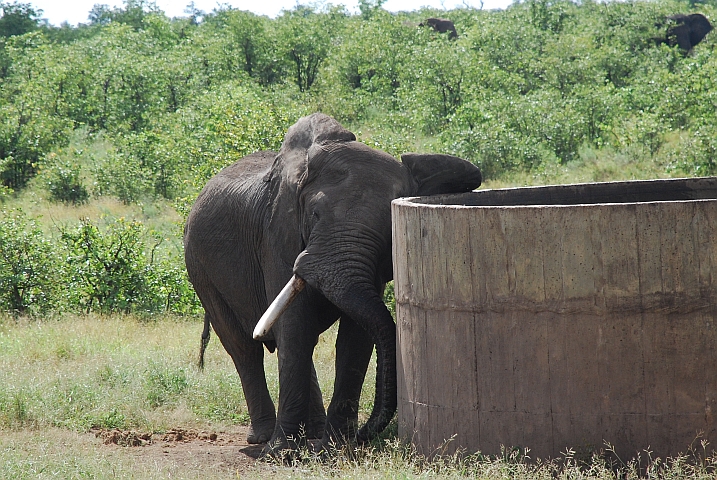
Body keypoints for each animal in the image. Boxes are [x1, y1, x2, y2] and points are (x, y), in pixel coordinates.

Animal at [185, 112, 482, 454]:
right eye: (314, 214)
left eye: (388, 227)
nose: (366, 432)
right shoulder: (277, 235)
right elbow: (295, 328)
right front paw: (282, 452)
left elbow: (355, 337)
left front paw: (334, 448)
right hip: (199, 267)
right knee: (244, 347)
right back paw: (263, 439)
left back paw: (310, 432)